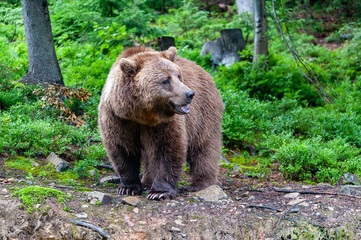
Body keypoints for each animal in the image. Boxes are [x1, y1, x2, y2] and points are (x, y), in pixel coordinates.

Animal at [97, 46, 222, 200]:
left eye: (178, 76)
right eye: (166, 80)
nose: (189, 94)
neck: (141, 114)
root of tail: (205, 71)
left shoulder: (164, 122)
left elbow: (167, 148)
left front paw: (159, 192)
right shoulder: (118, 118)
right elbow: (123, 148)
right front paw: (128, 188)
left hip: (204, 112)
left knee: (204, 146)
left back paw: (200, 183)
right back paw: (147, 181)